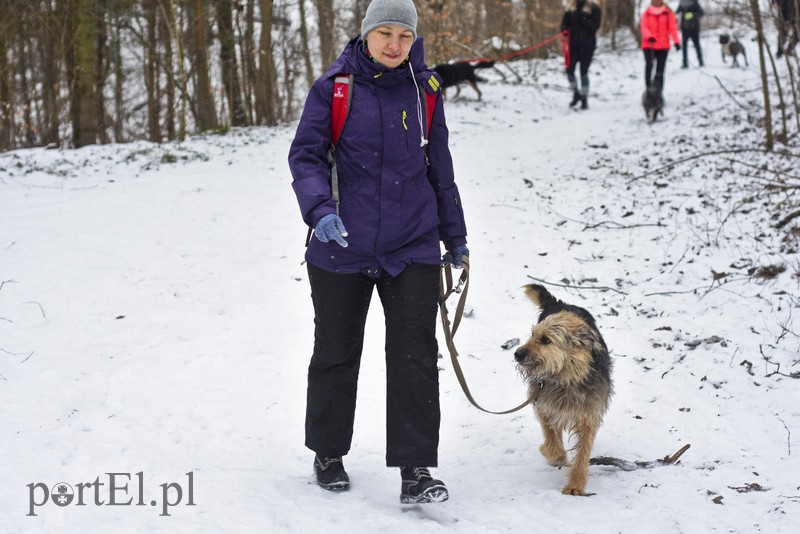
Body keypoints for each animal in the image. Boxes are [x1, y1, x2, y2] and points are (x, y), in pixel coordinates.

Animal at [512, 284, 612, 498]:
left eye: (546, 340)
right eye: (532, 335)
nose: (517, 354)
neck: (566, 378)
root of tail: (561, 304)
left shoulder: (589, 416)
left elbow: (583, 452)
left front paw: (575, 485)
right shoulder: (542, 402)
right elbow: (550, 434)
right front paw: (555, 455)